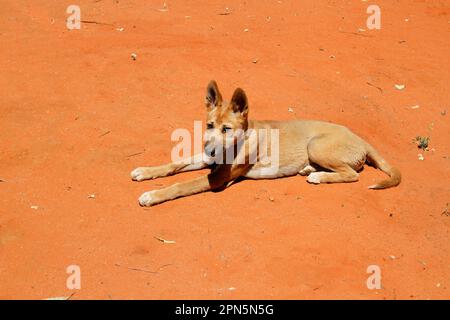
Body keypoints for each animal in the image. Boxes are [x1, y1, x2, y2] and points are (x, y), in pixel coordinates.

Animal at [131, 79, 400, 205]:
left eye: (227, 129)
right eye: (209, 125)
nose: (209, 149)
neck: (240, 140)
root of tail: (360, 138)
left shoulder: (219, 177)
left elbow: (181, 185)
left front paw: (152, 195)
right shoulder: (209, 160)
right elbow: (174, 165)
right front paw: (145, 171)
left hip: (316, 145)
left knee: (353, 174)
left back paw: (318, 176)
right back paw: (309, 169)